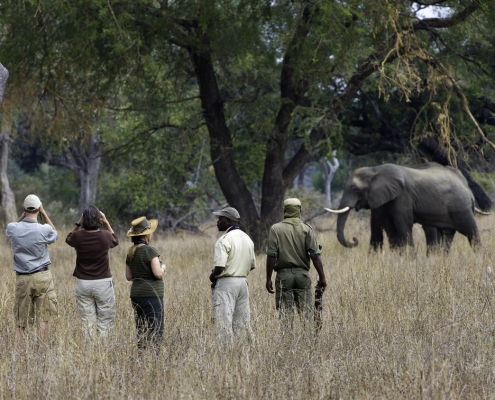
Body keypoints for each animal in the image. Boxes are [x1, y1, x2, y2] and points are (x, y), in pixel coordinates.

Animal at [328, 163, 482, 253]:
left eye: (354, 188)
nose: (354, 240)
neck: (374, 170)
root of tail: (467, 189)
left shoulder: (403, 196)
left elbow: (402, 223)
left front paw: (410, 259)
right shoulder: (384, 198)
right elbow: (387, 225)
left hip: (461, 206)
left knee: (471, 231)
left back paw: (479, 257)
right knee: (447, 234)